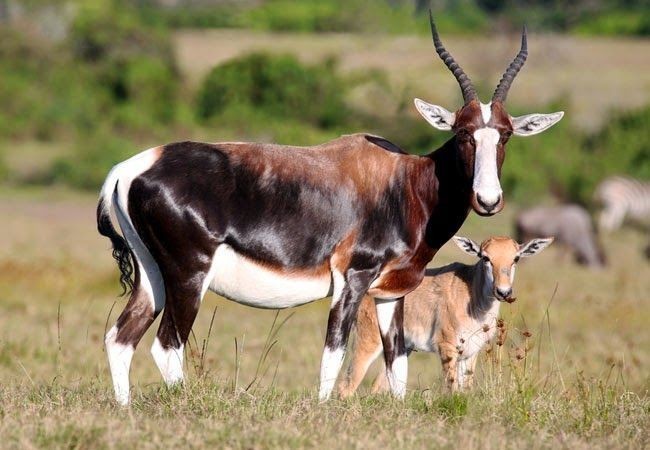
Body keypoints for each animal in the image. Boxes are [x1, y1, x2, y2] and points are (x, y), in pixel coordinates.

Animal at [340, 236, 552, 398]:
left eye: (516, 258)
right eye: (485, 257)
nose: (504, 292)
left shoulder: (470, 353)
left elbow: (465, 389)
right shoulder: (447, 347)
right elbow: (452, 389)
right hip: (369, 340)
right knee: (346, 386)